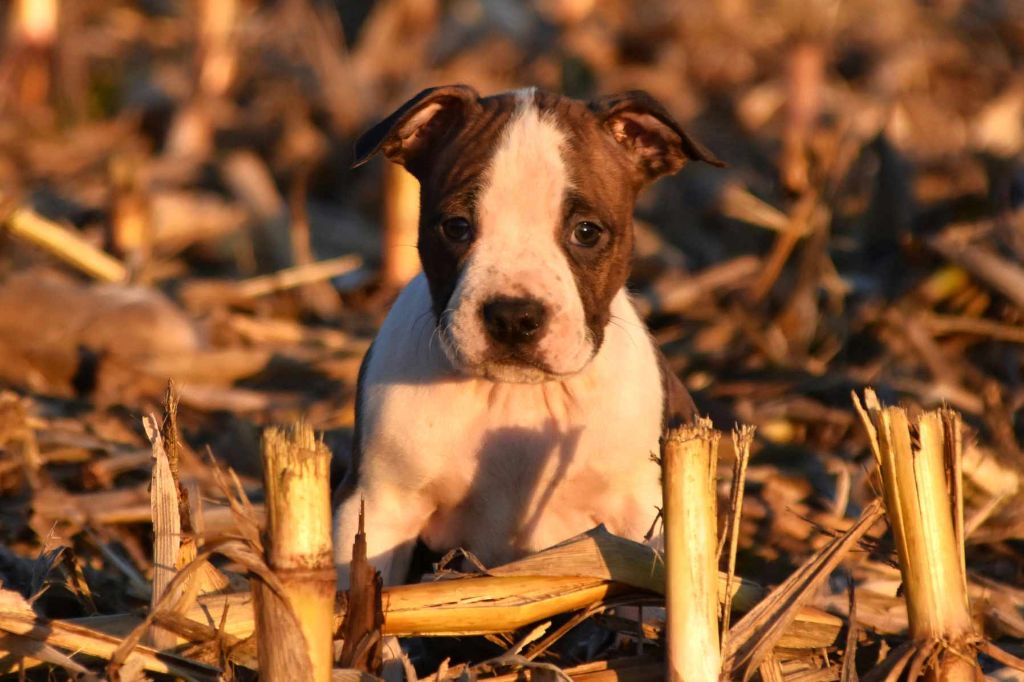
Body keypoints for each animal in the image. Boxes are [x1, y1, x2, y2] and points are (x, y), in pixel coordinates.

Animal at [335, 83, 720, 585]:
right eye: (456, 227)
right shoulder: (376, 508)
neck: (516, 394)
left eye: (586, 232)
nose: (514, 316)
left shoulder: (642, 513)